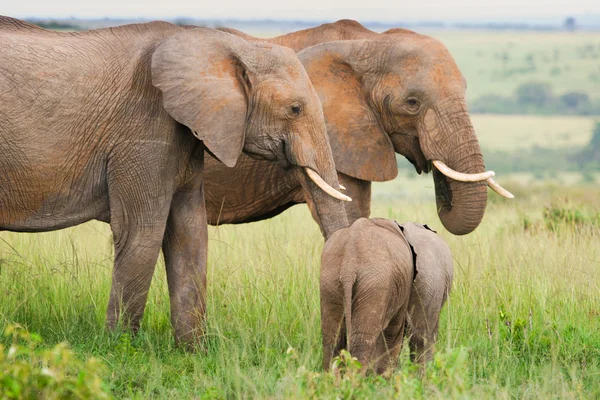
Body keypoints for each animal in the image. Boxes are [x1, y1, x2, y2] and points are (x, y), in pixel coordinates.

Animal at [0, 16, 352, 344]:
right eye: (295, 109)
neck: (228, 45)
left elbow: (190, 231)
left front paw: (193, 352)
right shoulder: (143, 129)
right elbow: (142, 232)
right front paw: (118, 348)